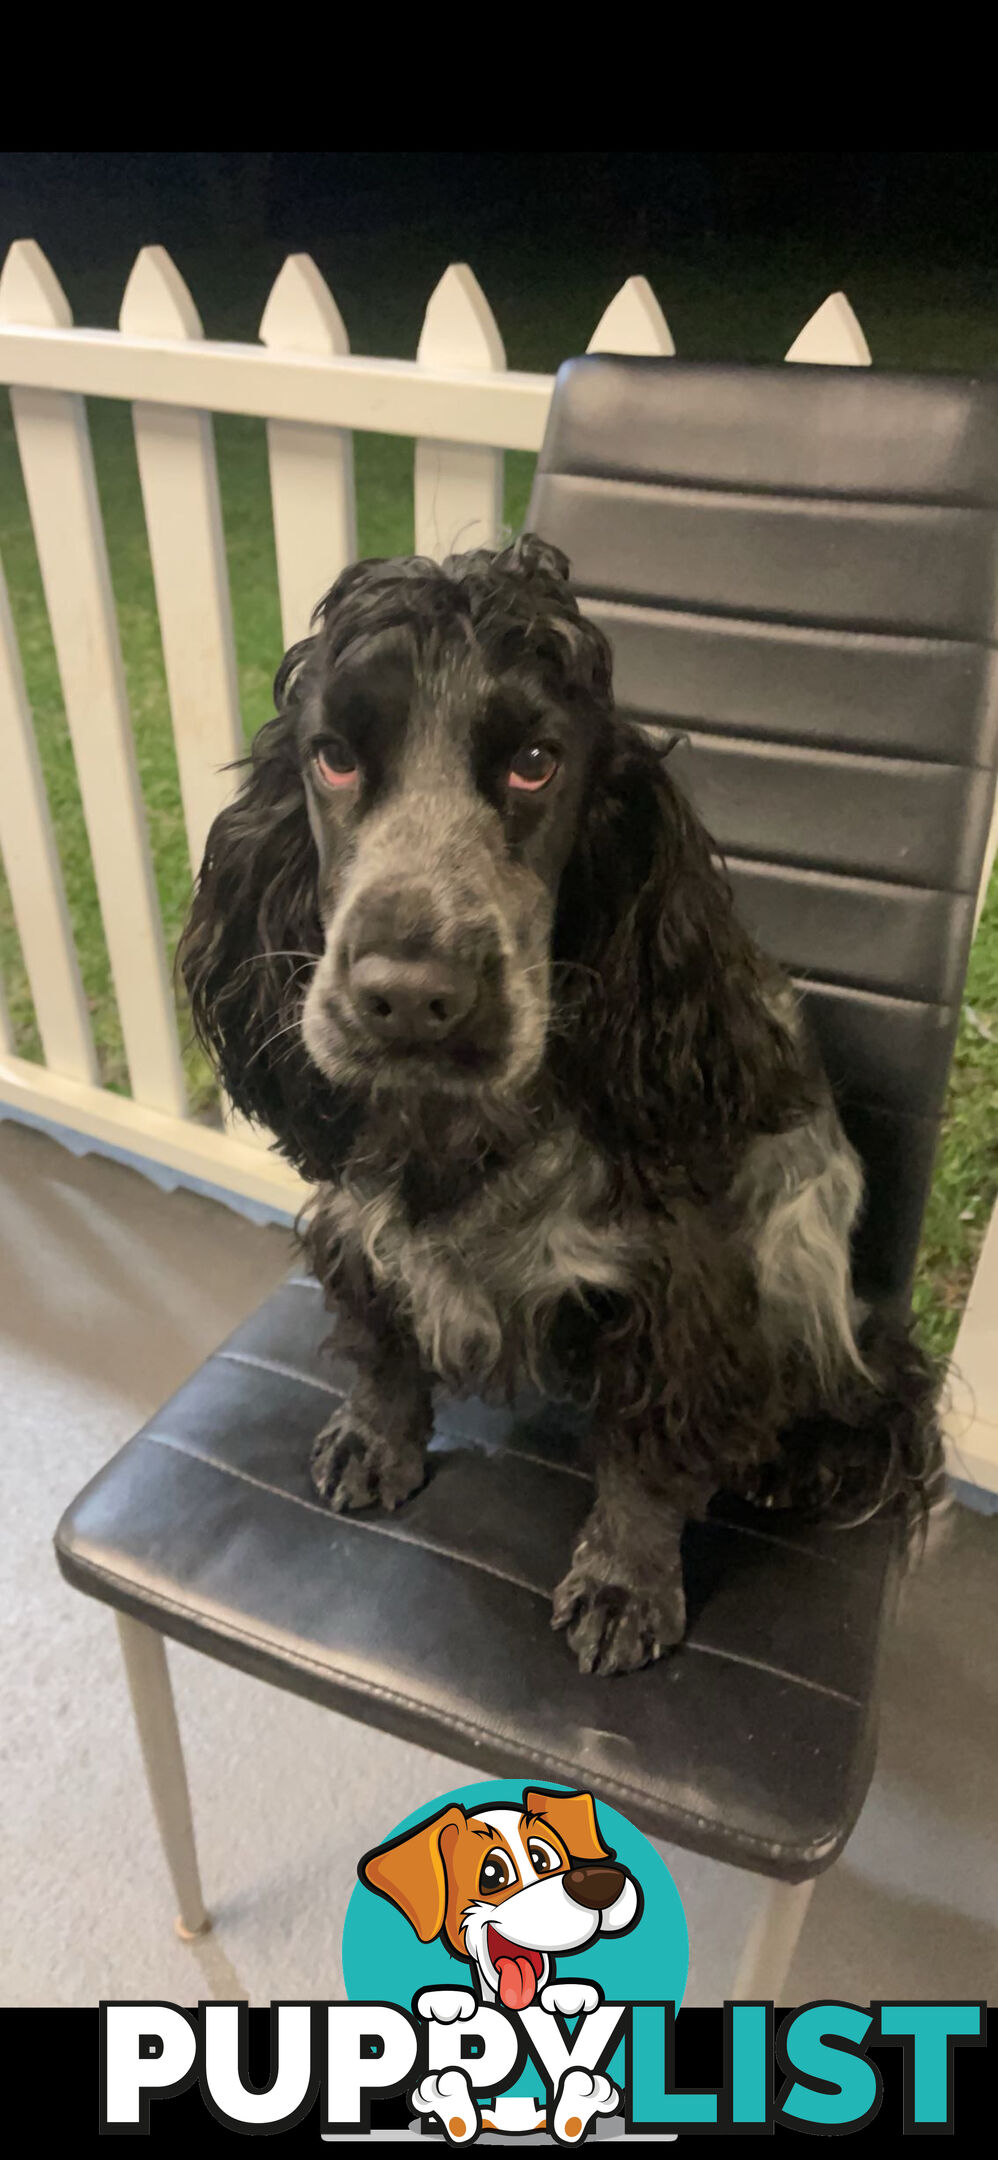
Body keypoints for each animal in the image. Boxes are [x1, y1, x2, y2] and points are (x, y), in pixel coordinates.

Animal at [179, 531, 941, 1676]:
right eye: (334, 756)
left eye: (534, 761)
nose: (408, 996)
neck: (461, 1129)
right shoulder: (356, 1226)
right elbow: (381, 1344)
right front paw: (375, 1439)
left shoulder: (682, 1286)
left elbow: (647, 1458)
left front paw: (626, 1585)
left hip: (803, 1255)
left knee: (865, 1390)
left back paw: (789, 1457)